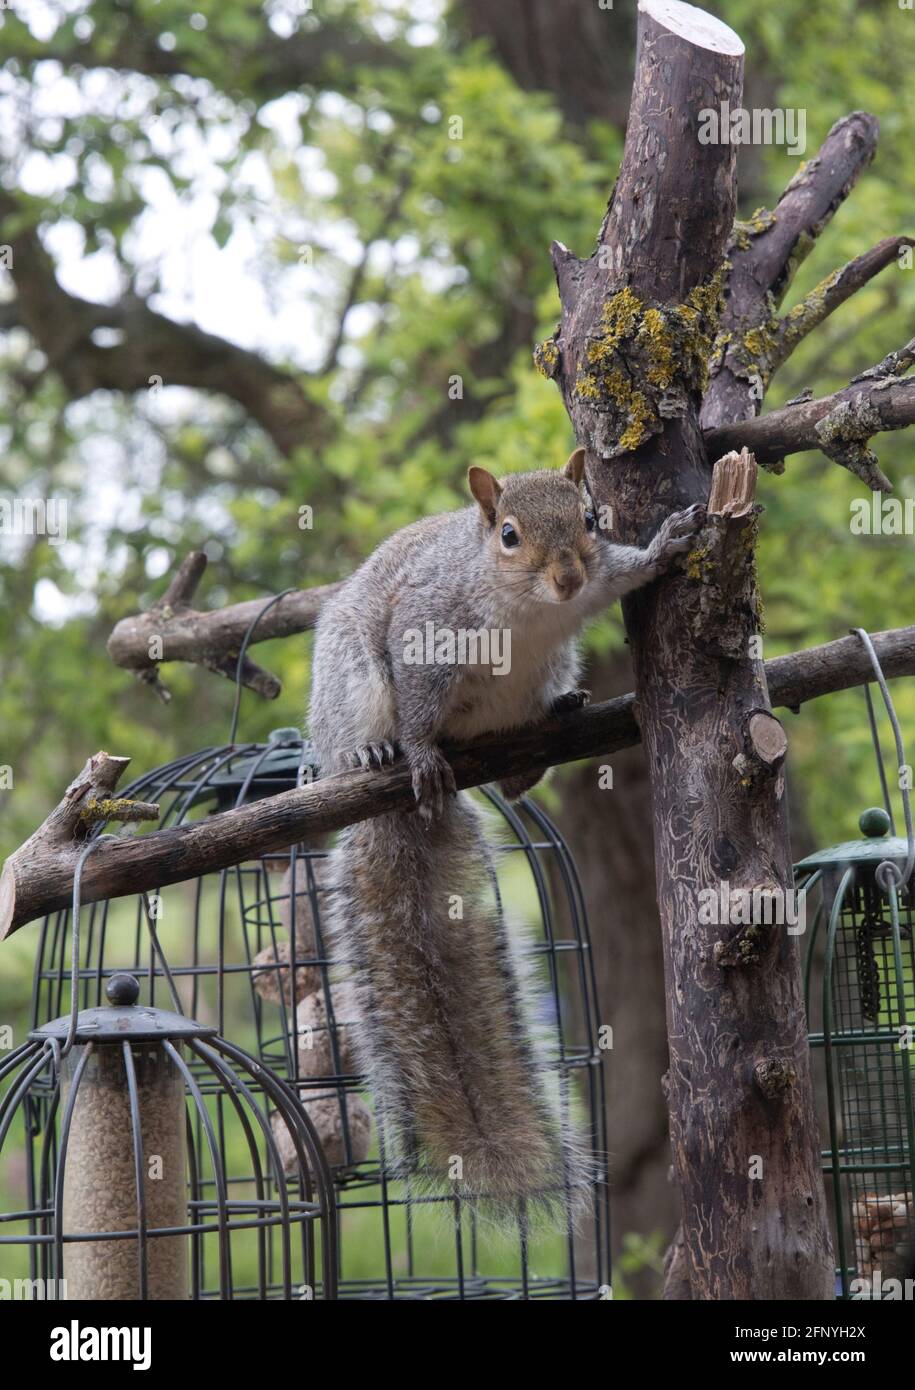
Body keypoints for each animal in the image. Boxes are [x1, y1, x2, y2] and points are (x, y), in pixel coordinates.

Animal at [310, 447, 700, 1217]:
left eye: (590, 518)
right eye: (510, 535)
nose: (568, 576)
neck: (527, 608)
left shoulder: (594, 584)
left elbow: (627, 571)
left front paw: (666, 546)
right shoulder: (427, 628)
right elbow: (419, 703)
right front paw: (419, 752)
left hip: (543, 675)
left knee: (523, 752)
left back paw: (549, 730)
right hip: (351, 681)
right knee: (364, 725)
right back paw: (375, 756)